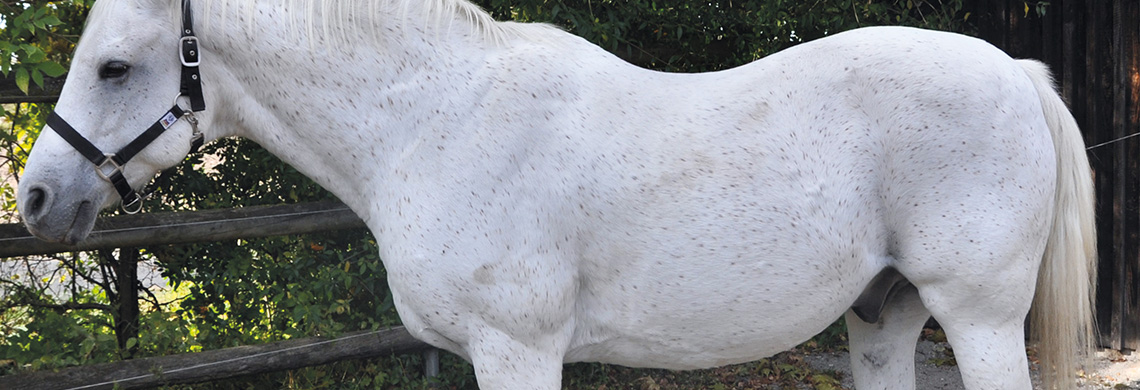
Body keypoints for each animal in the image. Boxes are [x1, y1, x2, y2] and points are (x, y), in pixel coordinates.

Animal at [13, 1, 1094, 387]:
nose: (36, 200)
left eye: (114, 67)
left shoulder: (517, 351)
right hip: (882, 318)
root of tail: (1016, 70)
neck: (433, 120)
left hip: (978, 317)